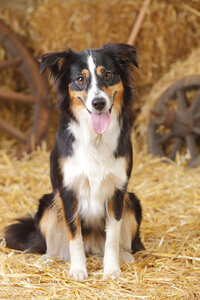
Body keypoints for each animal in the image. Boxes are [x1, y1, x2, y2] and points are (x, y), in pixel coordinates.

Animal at [4, 43, 145, 280]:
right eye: (80, 79)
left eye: (108, 74)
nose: (98, 103)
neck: (95, 137)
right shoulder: (68, 190)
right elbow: (74, 235)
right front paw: (78, 269)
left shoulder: (118, 190)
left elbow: (113, 235)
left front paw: (112, 269)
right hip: (48, 203)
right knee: (57, 244)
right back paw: (49, 257)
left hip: (132, 201)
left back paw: (124, 255)